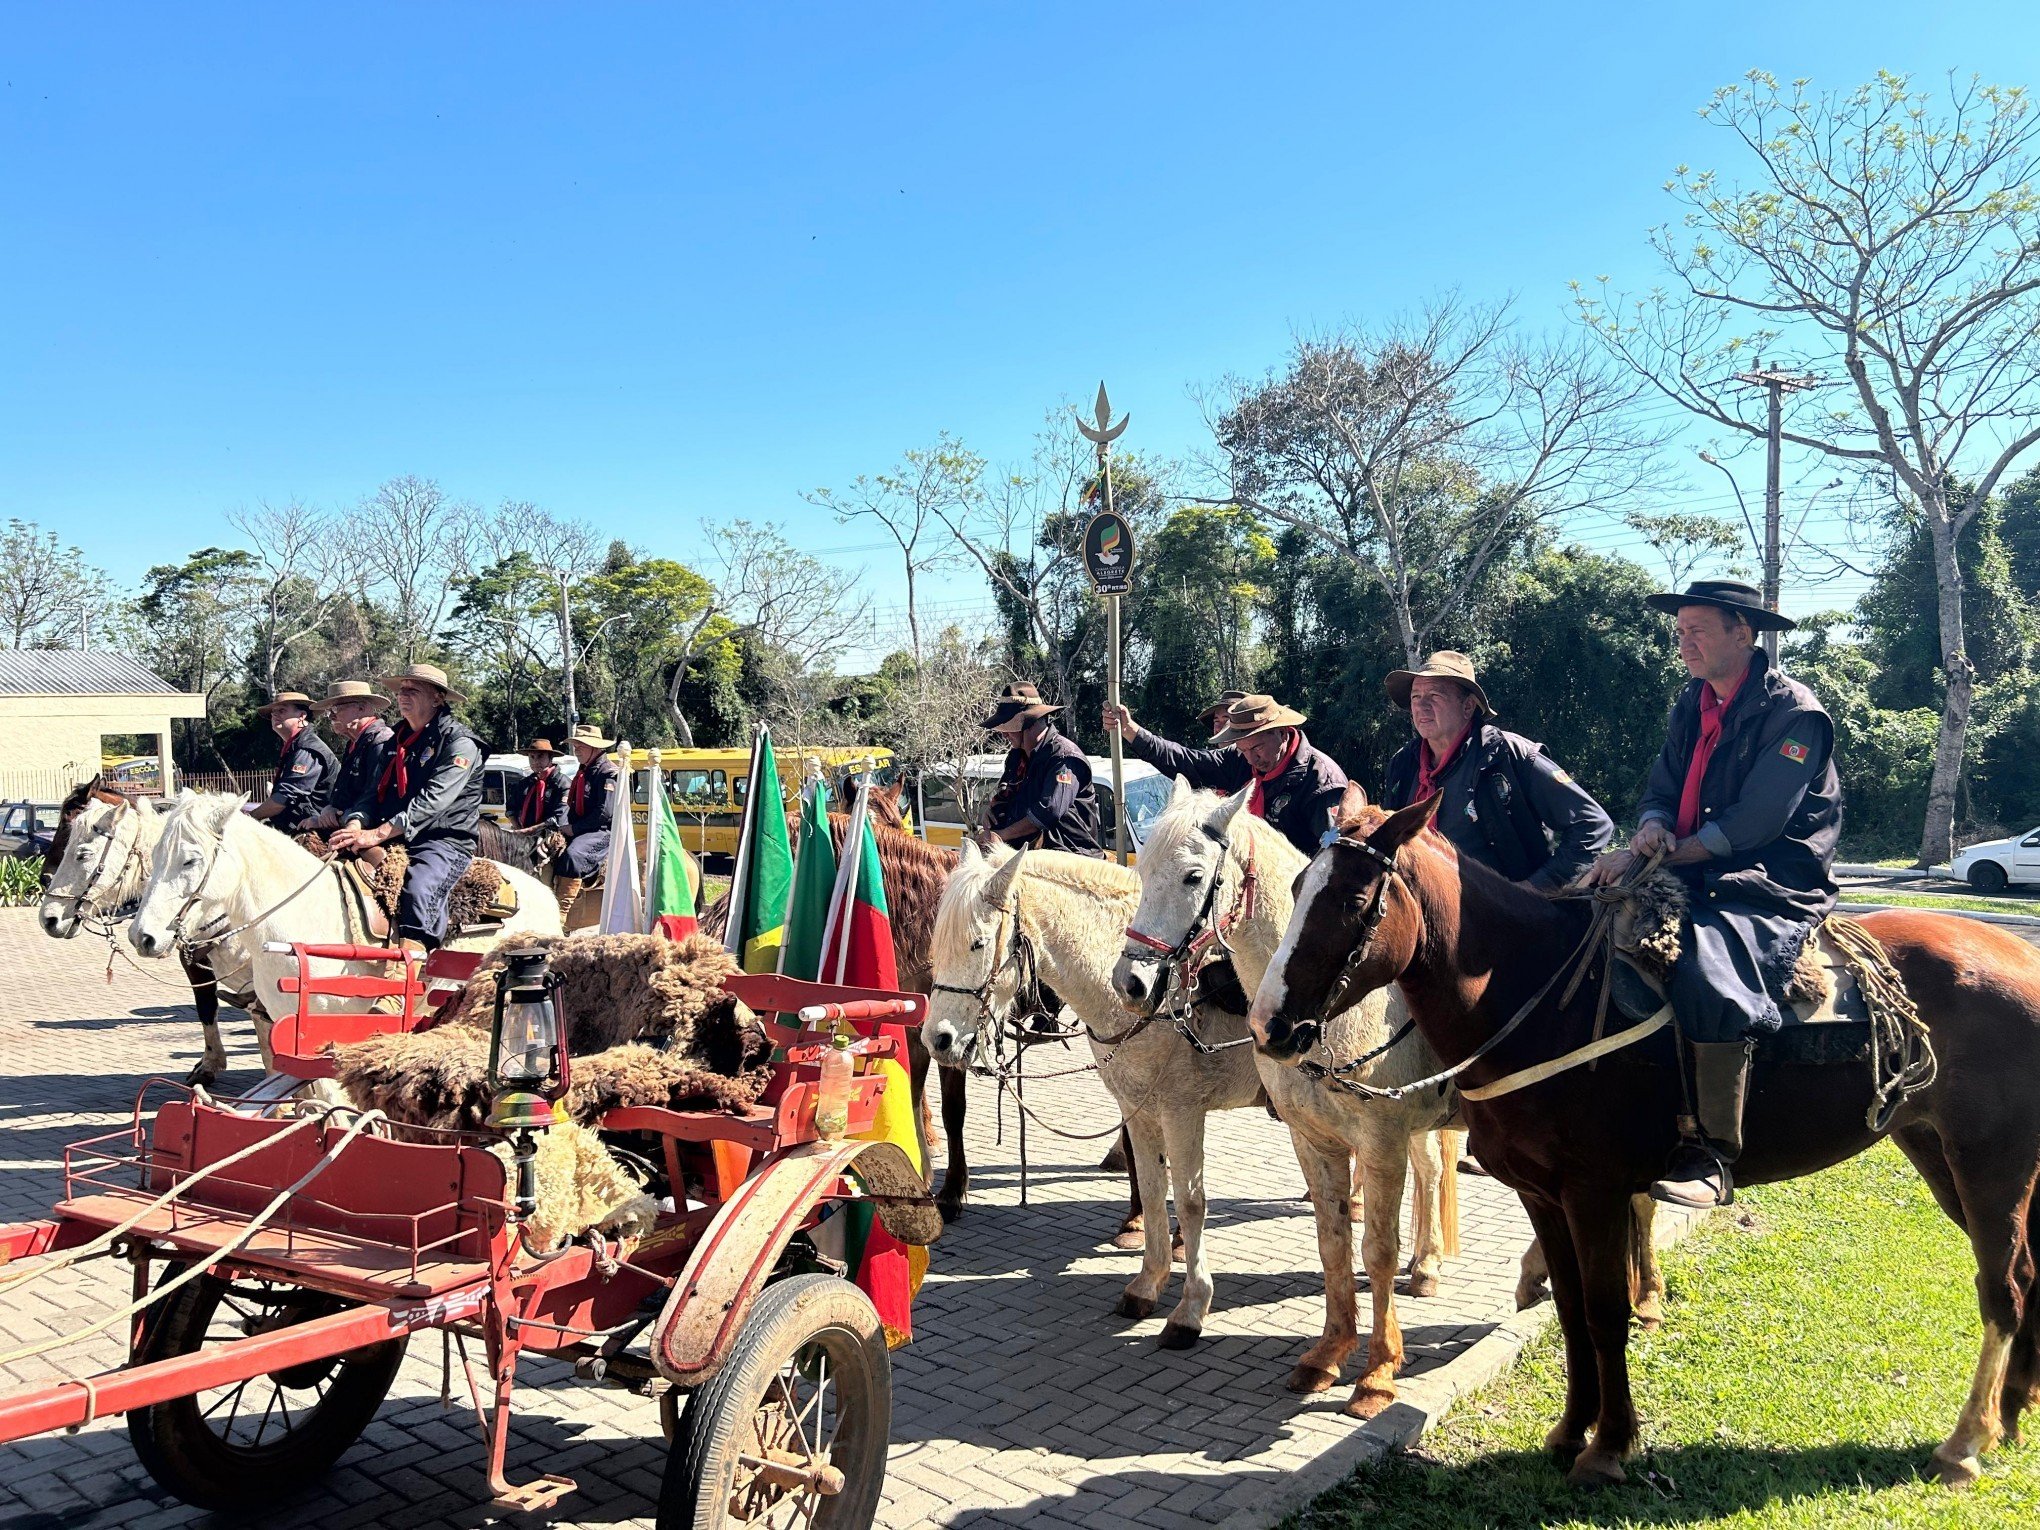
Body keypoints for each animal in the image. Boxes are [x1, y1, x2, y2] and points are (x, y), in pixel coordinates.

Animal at [926, 852, 1272, 1354]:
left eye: (977, 943)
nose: (937, 1039)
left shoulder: (1182, 1112)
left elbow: (1190, 1204)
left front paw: (1190, 1311)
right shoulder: (1139, 1110)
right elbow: (1151, 1189)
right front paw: (1147, 1285)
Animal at [1117, 791, 1468, 1428]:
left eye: (1193, 876)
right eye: (1143, 870)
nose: (1130, 982)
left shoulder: (1380, 1142)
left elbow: (1376, 1251)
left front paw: (1377, 1374)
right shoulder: (1312, 1139)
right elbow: (1332, 1243)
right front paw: (1328, 1355)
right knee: (1434, 1173)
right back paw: (1430, 1267)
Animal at [1248, 791, 2040, 1501]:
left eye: (1354, 898)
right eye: (1296, 887)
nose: (1268, 1025)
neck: (1541, 998)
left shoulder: (1593, 1191)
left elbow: (1606, 1312)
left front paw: (1609, 1447)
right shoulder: (1541, 1194)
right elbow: (1570, 1310)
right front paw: (1570, 1432)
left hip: (1990, 1164)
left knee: (2000, 1288)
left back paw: (1965, 1444)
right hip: (1935, 1150)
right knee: (2028, 1275)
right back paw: (2009, 1416)